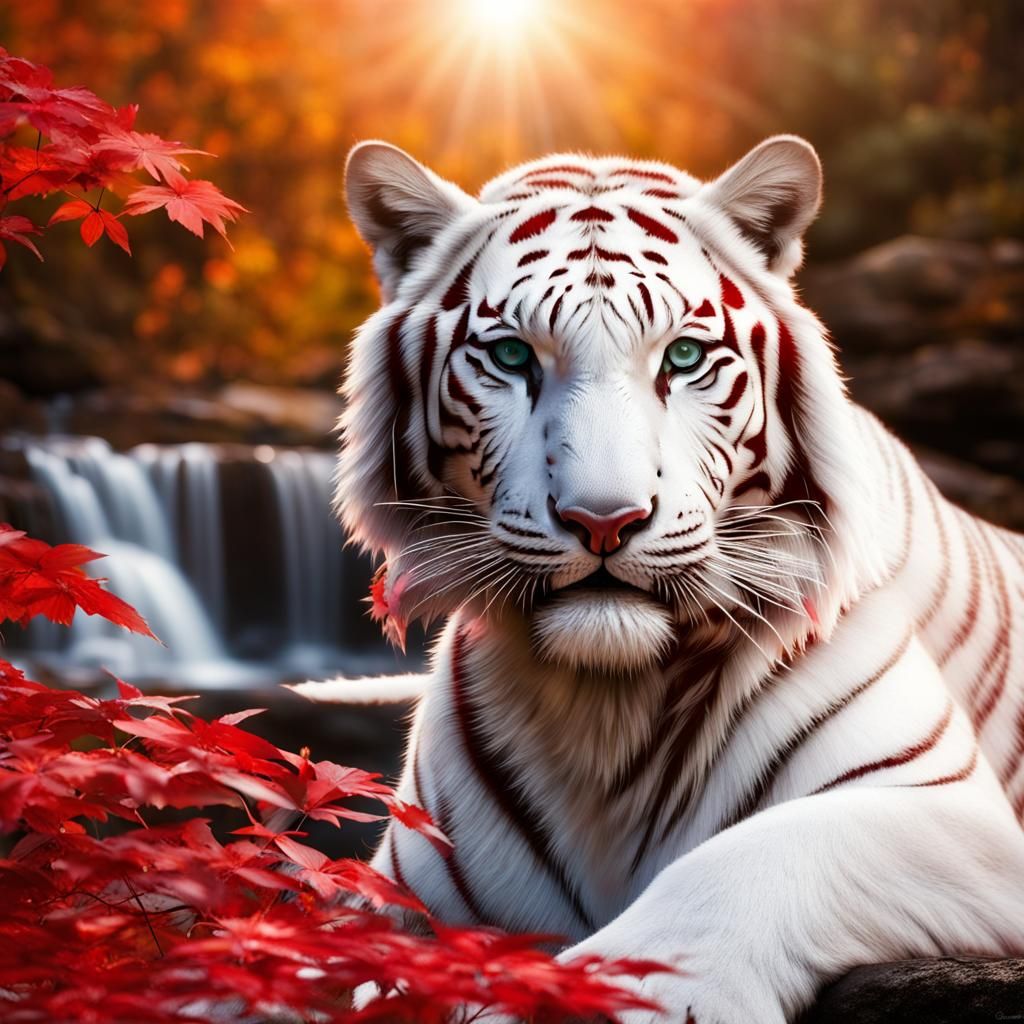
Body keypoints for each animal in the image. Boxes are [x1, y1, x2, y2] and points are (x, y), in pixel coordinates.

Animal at [309, 135, 1024, 1022]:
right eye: (512, 356)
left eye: (683, 356)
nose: (604, 519)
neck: (605, 707)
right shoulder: (405, 882)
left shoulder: (950, 810)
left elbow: (744, 863)